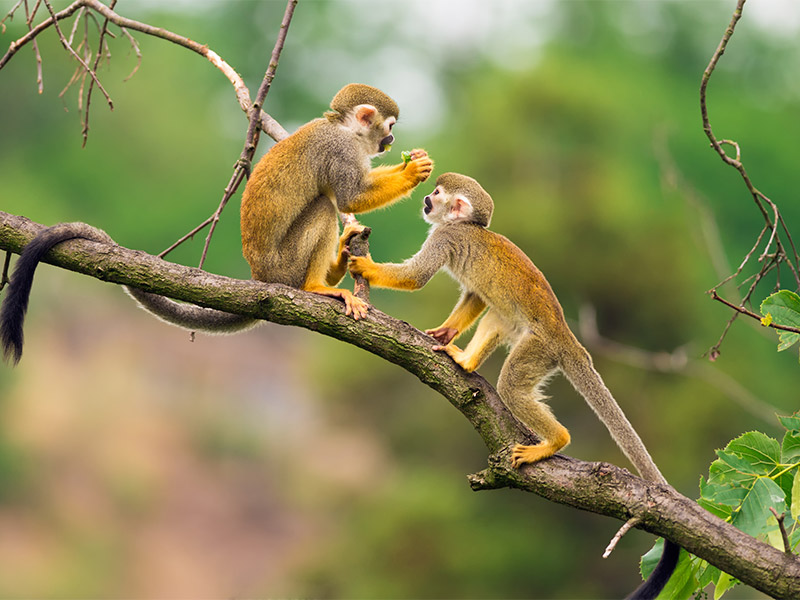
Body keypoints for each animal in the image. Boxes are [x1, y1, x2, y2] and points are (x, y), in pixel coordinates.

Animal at [0, 84, 434, 364]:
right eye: (389, 126)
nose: (392, 141)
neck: (344, 129)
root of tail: (262, 278)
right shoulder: (340, 151)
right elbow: (348, 197)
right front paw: (414, 172)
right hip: (285, 266)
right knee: (324, 208)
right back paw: (317, 286)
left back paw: (340, 261)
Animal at [348, 172, 676, 600]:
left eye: (436, 194)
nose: (425, 200)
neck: (468, 227)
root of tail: (567, 337)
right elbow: (474, 296)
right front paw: (446, 331)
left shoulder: (446, 237)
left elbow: (417, 278)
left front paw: (365, 266)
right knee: (497, 313)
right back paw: (467, 362)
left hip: (540, 348)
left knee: (512, 385)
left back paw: (555, 441)